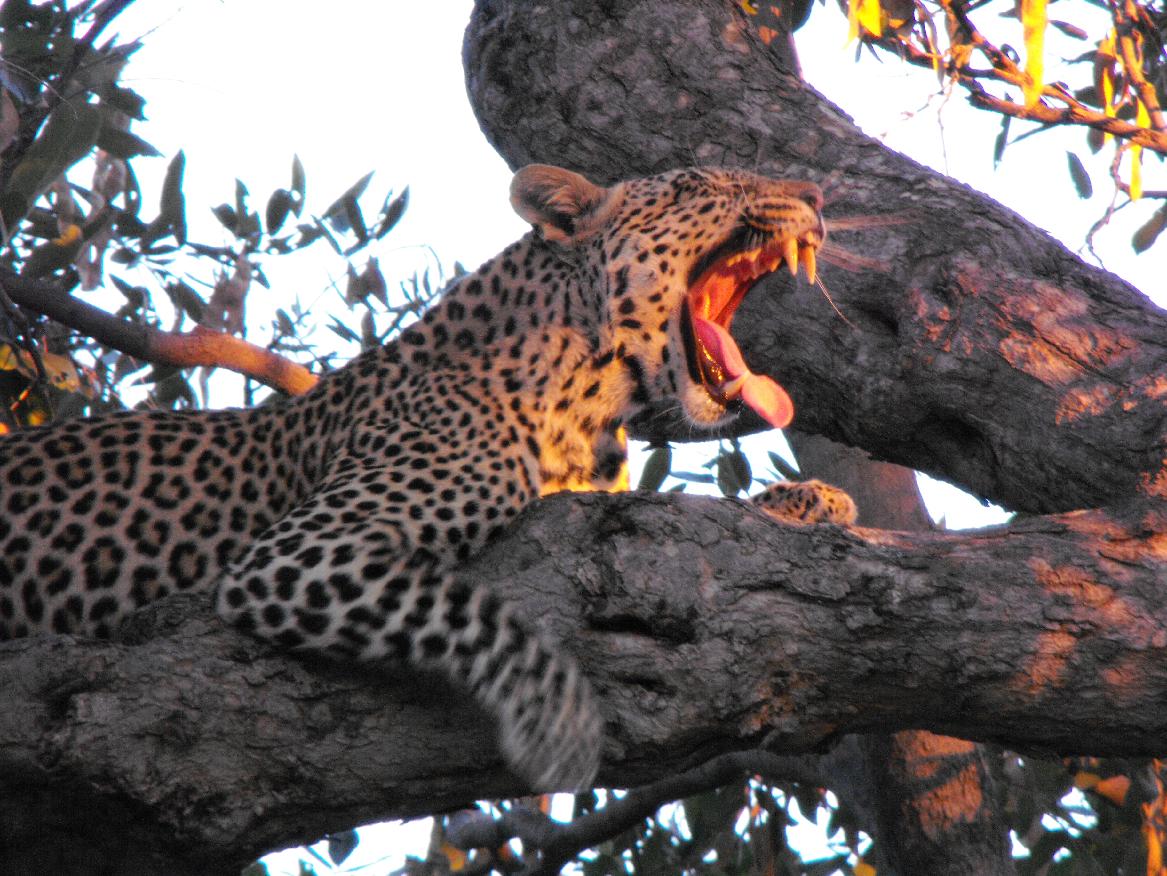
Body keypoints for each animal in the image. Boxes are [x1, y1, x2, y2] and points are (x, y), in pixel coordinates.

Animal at [0, 163, 851, 791]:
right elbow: (480, 615)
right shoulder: (301, 556)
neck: (585, 403)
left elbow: (689, 503)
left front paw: (806, 499)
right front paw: (560, 721)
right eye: (698, 183)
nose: (816, 196)